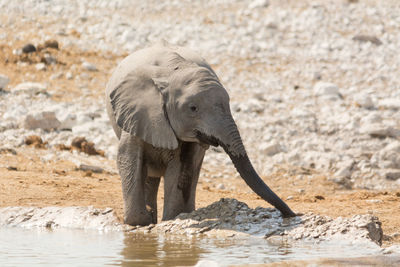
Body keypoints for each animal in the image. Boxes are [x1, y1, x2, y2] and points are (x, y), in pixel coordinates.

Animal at [104, 43, 296, 226]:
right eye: (193, 108)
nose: (292, 215)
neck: (172, 70)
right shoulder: (137, 113)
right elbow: (128, 158)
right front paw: (141, 222)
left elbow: (180, 166)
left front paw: (172, 218)